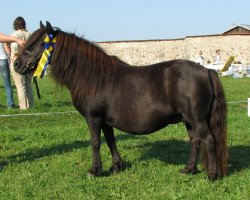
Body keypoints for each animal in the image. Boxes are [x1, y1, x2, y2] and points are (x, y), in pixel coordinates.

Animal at [14, 21, 229, 180]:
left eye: (41, 44)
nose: (16, 64)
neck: (93, 77)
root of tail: (206, 70)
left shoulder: (93, 118)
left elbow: (95, 143)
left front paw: (95, 171)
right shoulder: (105, 121)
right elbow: (110, 141)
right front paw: (116, 166)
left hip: (197, 119)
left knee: (208, 139)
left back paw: (212, 175)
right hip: (188, 120)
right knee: (195, 141)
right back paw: (188, 169)